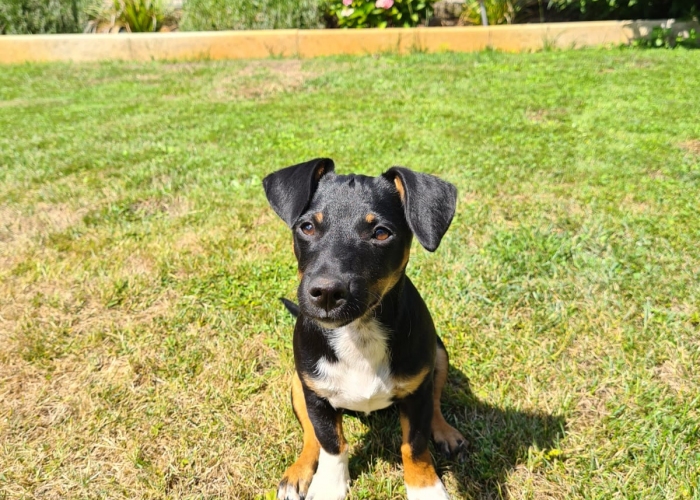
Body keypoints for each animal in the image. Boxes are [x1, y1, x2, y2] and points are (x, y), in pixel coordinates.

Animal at [262, 157, 464, 500]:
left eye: (381, 233)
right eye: (307, 227)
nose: (326, 293)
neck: (359, 333)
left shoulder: (416, 393)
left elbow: (415, 445)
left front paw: (425, 488)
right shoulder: (315, 395)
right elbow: (331, 442)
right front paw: (329, 487)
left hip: (438, 355)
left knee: (435, 402)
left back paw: (445, 431)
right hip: (297, 385)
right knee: (311, 436)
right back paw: (299, 472)